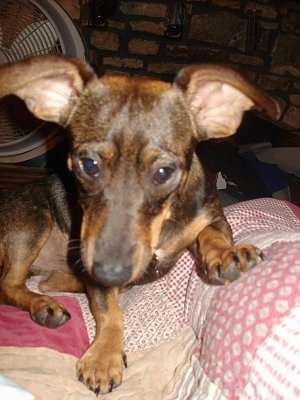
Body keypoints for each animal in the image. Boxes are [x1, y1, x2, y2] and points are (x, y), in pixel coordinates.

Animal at [0, 55, 278, 394]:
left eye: (164, 172)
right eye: (88, 164)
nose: (109, 272)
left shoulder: (213, 217)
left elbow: (211, 234)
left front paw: (226, 254)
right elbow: (109, 312)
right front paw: (103, 358)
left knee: (46, 281)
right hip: (32, 222)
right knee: (11, 285)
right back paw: (44, 305)